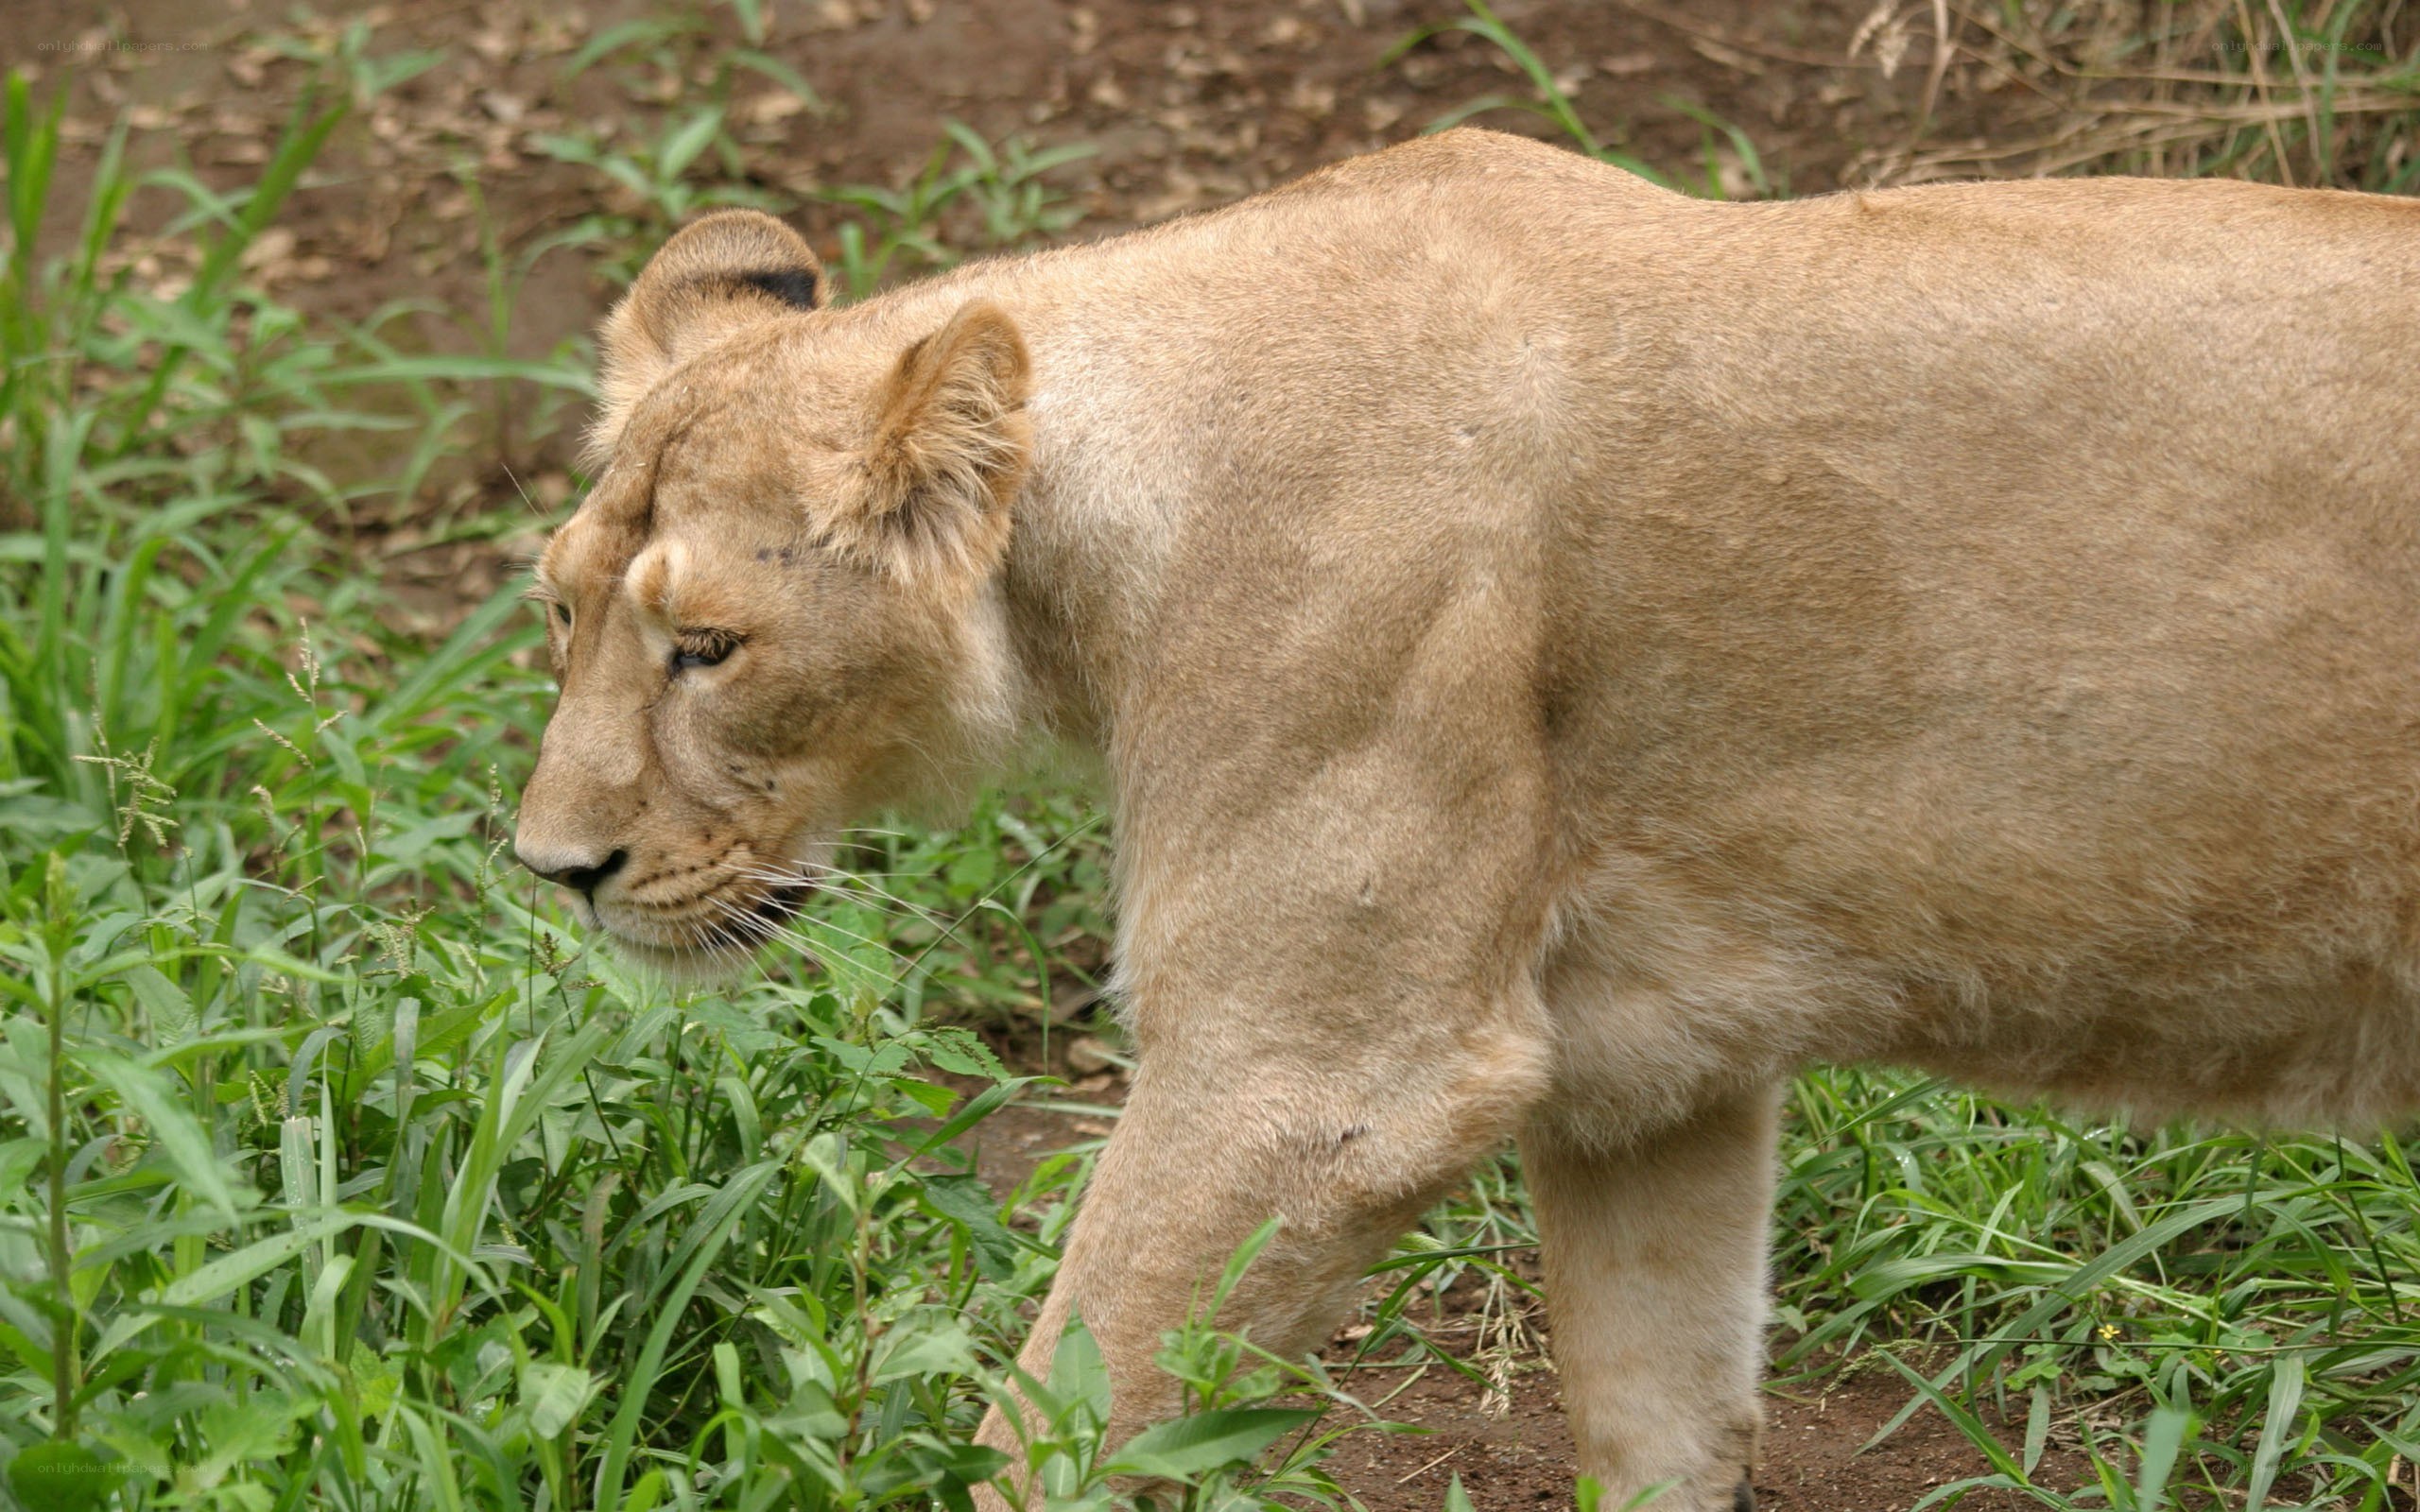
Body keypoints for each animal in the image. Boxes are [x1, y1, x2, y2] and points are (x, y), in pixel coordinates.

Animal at [513, 128, 2420, 1509]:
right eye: (557, 609)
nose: (551, 870)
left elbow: (1056, 1431)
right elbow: (1661, 1421)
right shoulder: (1655, 1083)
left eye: (707, 649)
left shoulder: (1320, 1080)